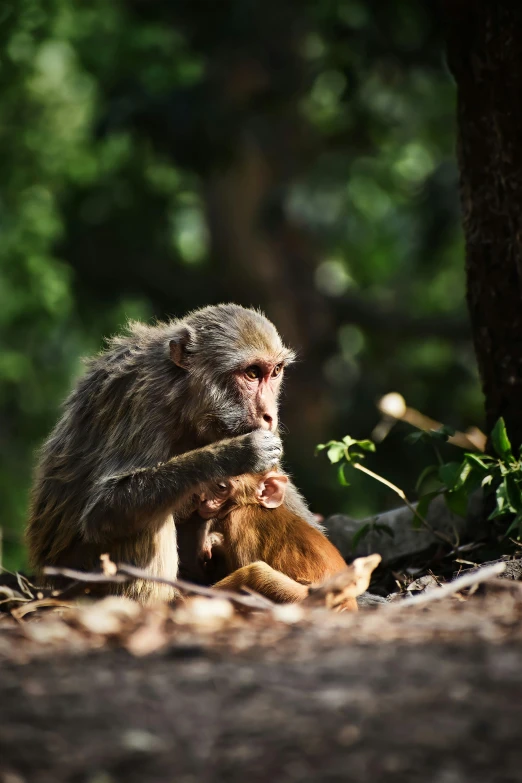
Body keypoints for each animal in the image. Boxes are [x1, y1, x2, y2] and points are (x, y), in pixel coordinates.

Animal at [27, 304, 312, 604]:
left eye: (275, 371)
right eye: (253, 373)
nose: (270, 415)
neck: (187, 400)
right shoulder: (143, 400)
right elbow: (103, 509)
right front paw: (235, 453)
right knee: (146, 521)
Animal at [193, 468, 360, 608]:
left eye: (221, 487)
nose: (202, 499)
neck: (253, 505)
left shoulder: (239, 520)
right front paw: (213, 542)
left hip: (305, 599)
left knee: (257, 573)